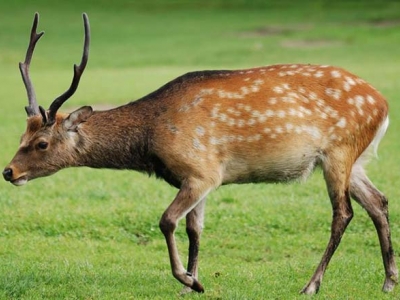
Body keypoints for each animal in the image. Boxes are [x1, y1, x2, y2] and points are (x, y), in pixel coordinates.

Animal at [1, 12, 398, 296]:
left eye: (42, 143)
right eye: (21, 134)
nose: (9, 172)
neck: (151, 140)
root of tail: (382, 105)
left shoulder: (202, 170)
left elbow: (167, 221)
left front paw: (188, 280)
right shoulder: (199, 178)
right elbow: (195, 228)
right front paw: (193, 281)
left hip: (339, 150)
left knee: (343, 213)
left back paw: (312, 284)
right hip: (354, 159)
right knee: (378, 202)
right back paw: (388, 280)